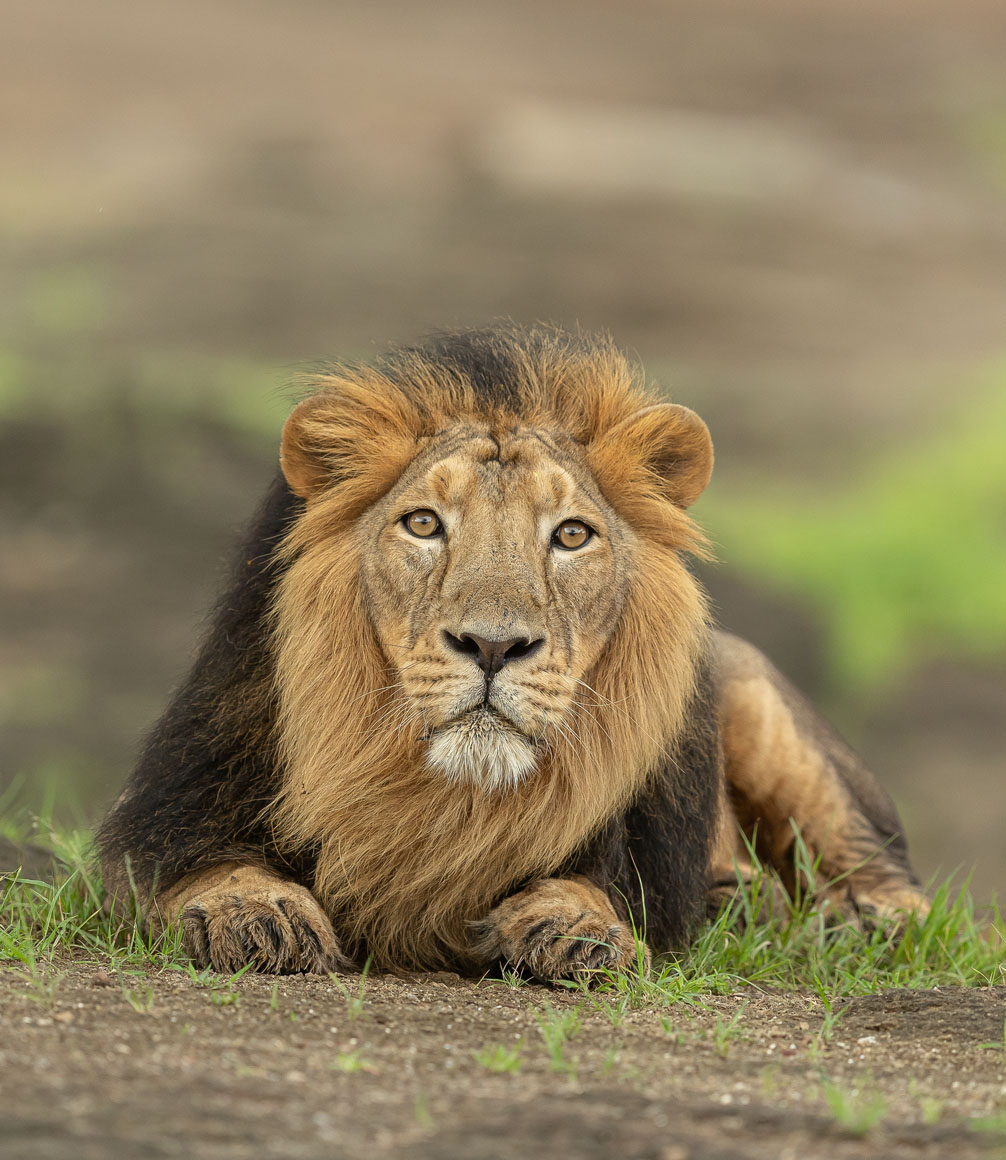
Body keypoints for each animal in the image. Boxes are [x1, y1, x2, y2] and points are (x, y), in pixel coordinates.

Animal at [97, 324, 927, 979]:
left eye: (571, 534)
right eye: (424, 524)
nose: (493, 645)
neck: (447, 797)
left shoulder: (652, 869)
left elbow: (610, 891)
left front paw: (577, 925)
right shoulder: (167, 812)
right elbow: (201, 868)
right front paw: (252, 914)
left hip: (759, 697)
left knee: (894, 879)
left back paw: (849, 922)